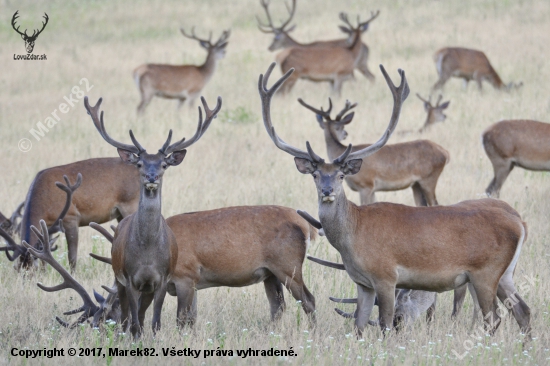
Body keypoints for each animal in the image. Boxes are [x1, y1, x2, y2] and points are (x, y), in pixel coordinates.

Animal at [85, 95, 221, 338]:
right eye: (139, 163)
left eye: (164, 164)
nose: (152, 176)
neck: (147, 255)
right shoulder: (130, 278)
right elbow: (133, 322)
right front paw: (134, 338)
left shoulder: (162, 279)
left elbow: (155, 322)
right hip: (118, 277)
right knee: (128, 317)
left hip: (147, 287)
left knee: (141, 314)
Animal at [166, 204, 316, 328]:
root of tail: (306, 225)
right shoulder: (194, 282)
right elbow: (192, 318)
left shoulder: (185, 276)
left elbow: (181, 319)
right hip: (271, 273)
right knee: (277, 306)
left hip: (288, 268)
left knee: (309, 300)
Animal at [300, 97, 450, 206]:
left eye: (341, 126)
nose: (345, 134)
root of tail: (445, 153)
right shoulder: (372, 189)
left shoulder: (366, 185)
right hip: (416, 184)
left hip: (429, 178)